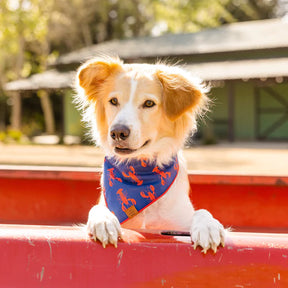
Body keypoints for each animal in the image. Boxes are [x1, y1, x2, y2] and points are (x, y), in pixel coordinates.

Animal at [75, 55, 226, 252]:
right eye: (113, 101)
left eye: (149, 103)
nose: (117, 132)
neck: (141, 172)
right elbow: (96, 209)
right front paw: (104, 222)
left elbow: (202, 211)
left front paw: (208, 226)